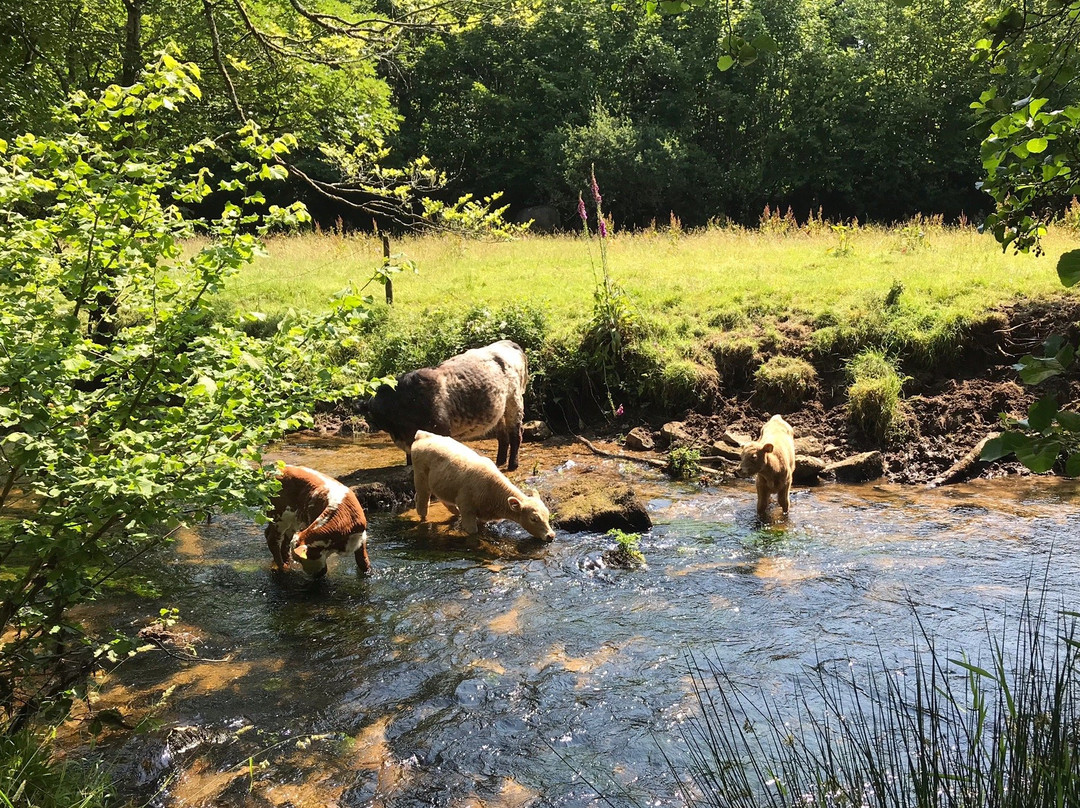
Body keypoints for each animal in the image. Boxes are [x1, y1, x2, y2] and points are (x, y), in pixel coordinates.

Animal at [365, 337, 529, 470]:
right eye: (379, 413)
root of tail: (508, 343)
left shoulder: (440, 430)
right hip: (499, 410)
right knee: (503, 436)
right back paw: (499, 462)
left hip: (514, 402)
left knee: (516, 434)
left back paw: (513, 465)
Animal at [410, 429, 557, 542]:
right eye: (533, 518)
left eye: (547, 514)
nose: (551, 535)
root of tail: (422, 435)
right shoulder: (467, 508)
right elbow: (473, 532)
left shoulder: (483, 515)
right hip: (420, 479)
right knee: (422, 502)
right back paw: (423, 520)